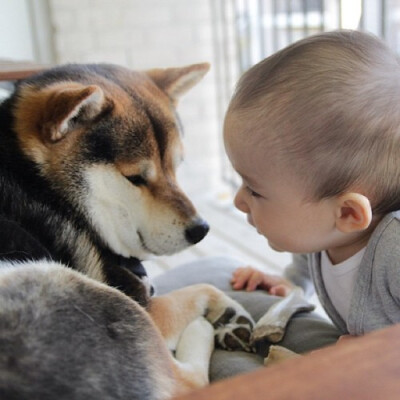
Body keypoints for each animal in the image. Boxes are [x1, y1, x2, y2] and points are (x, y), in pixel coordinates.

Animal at [0, 62, 253, 400]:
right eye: (135, 178)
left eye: (175, 166)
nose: (200, 230)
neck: (42, 189)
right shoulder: (148, 307)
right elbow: (201, 288)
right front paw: (227, 311)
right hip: (64, 283)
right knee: (188, 381)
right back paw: (201, 330)